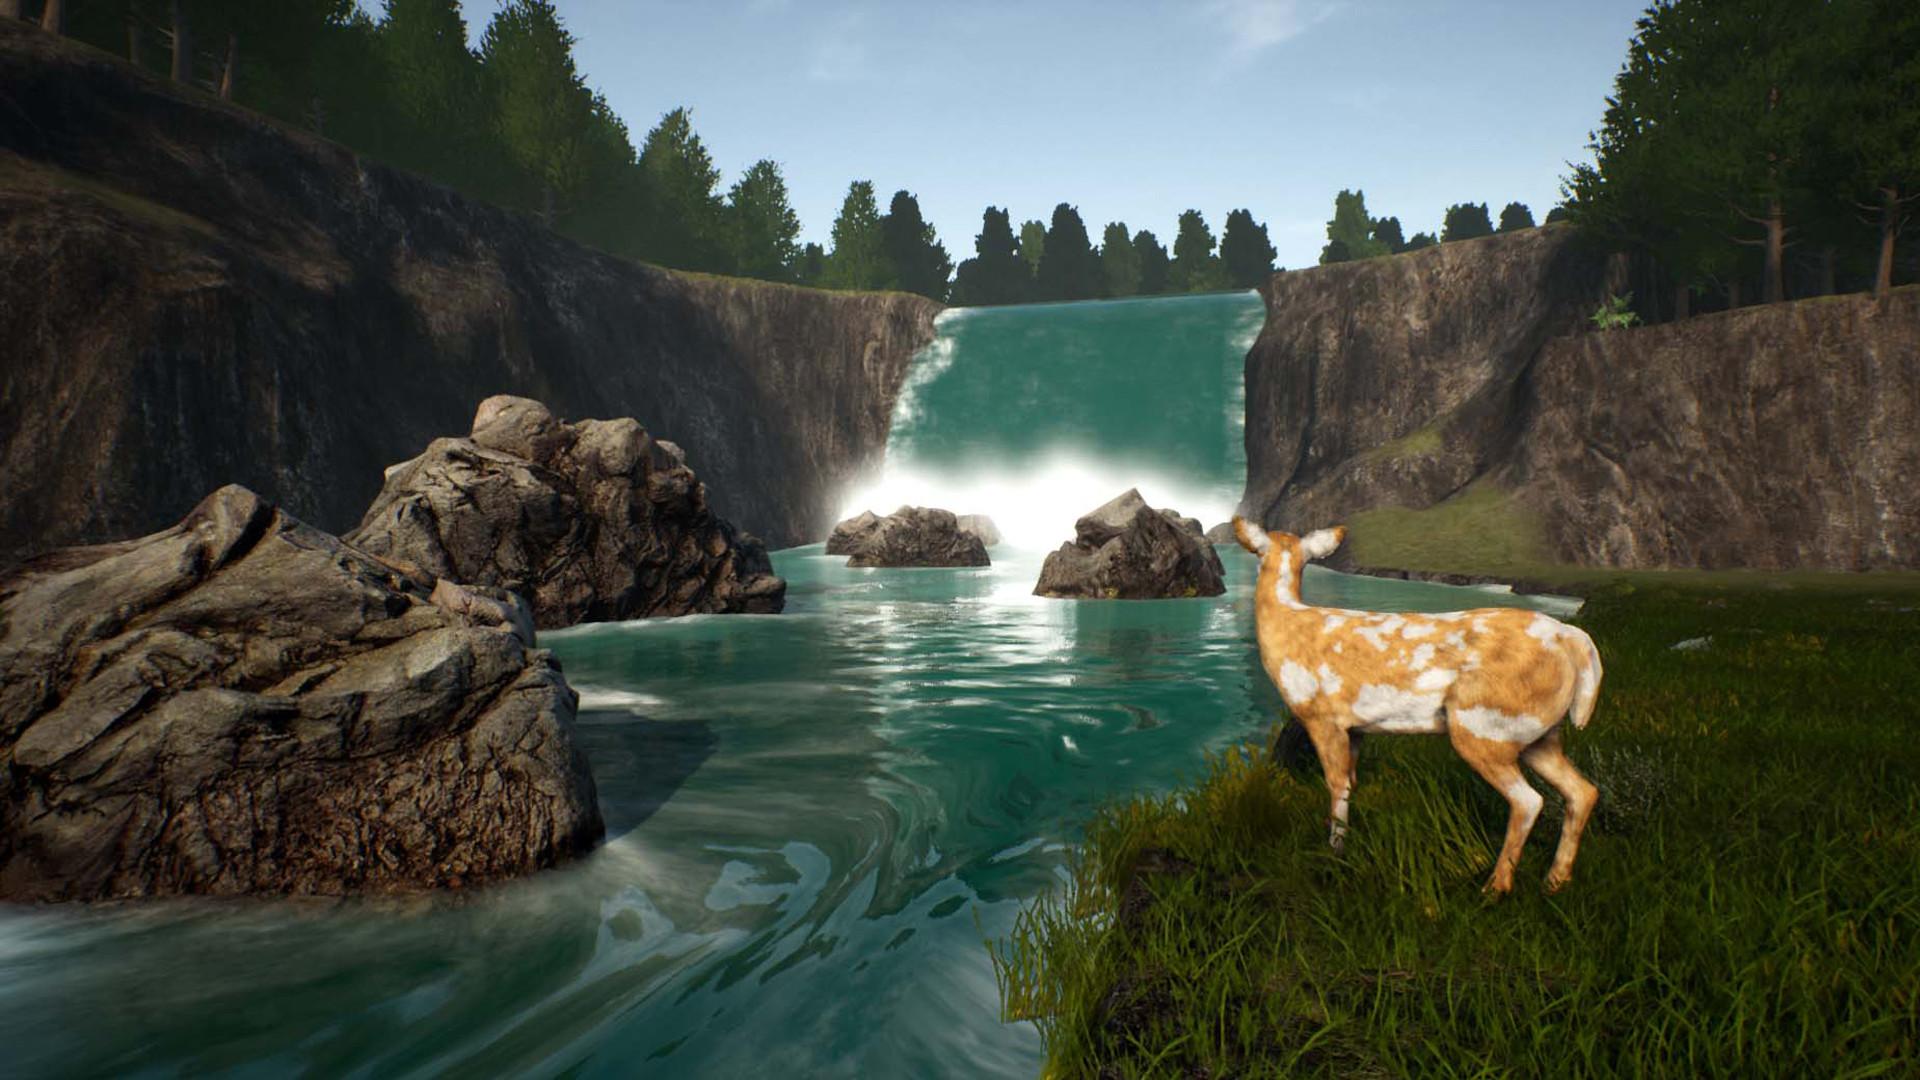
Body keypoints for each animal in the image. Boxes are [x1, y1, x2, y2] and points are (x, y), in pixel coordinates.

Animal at [1231, 518, 1604, 895]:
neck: (1288, 623)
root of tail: (1575, 639)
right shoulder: (1356, 727)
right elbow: (1352, 781)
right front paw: (1346, 846)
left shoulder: (1322, 715)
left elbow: (1336, 785)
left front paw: (1334, 854)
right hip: (1536, 730)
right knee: (1583, 791)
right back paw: (1555, 880)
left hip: (1483, 722)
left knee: (1528, 800)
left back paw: (1496, 887)